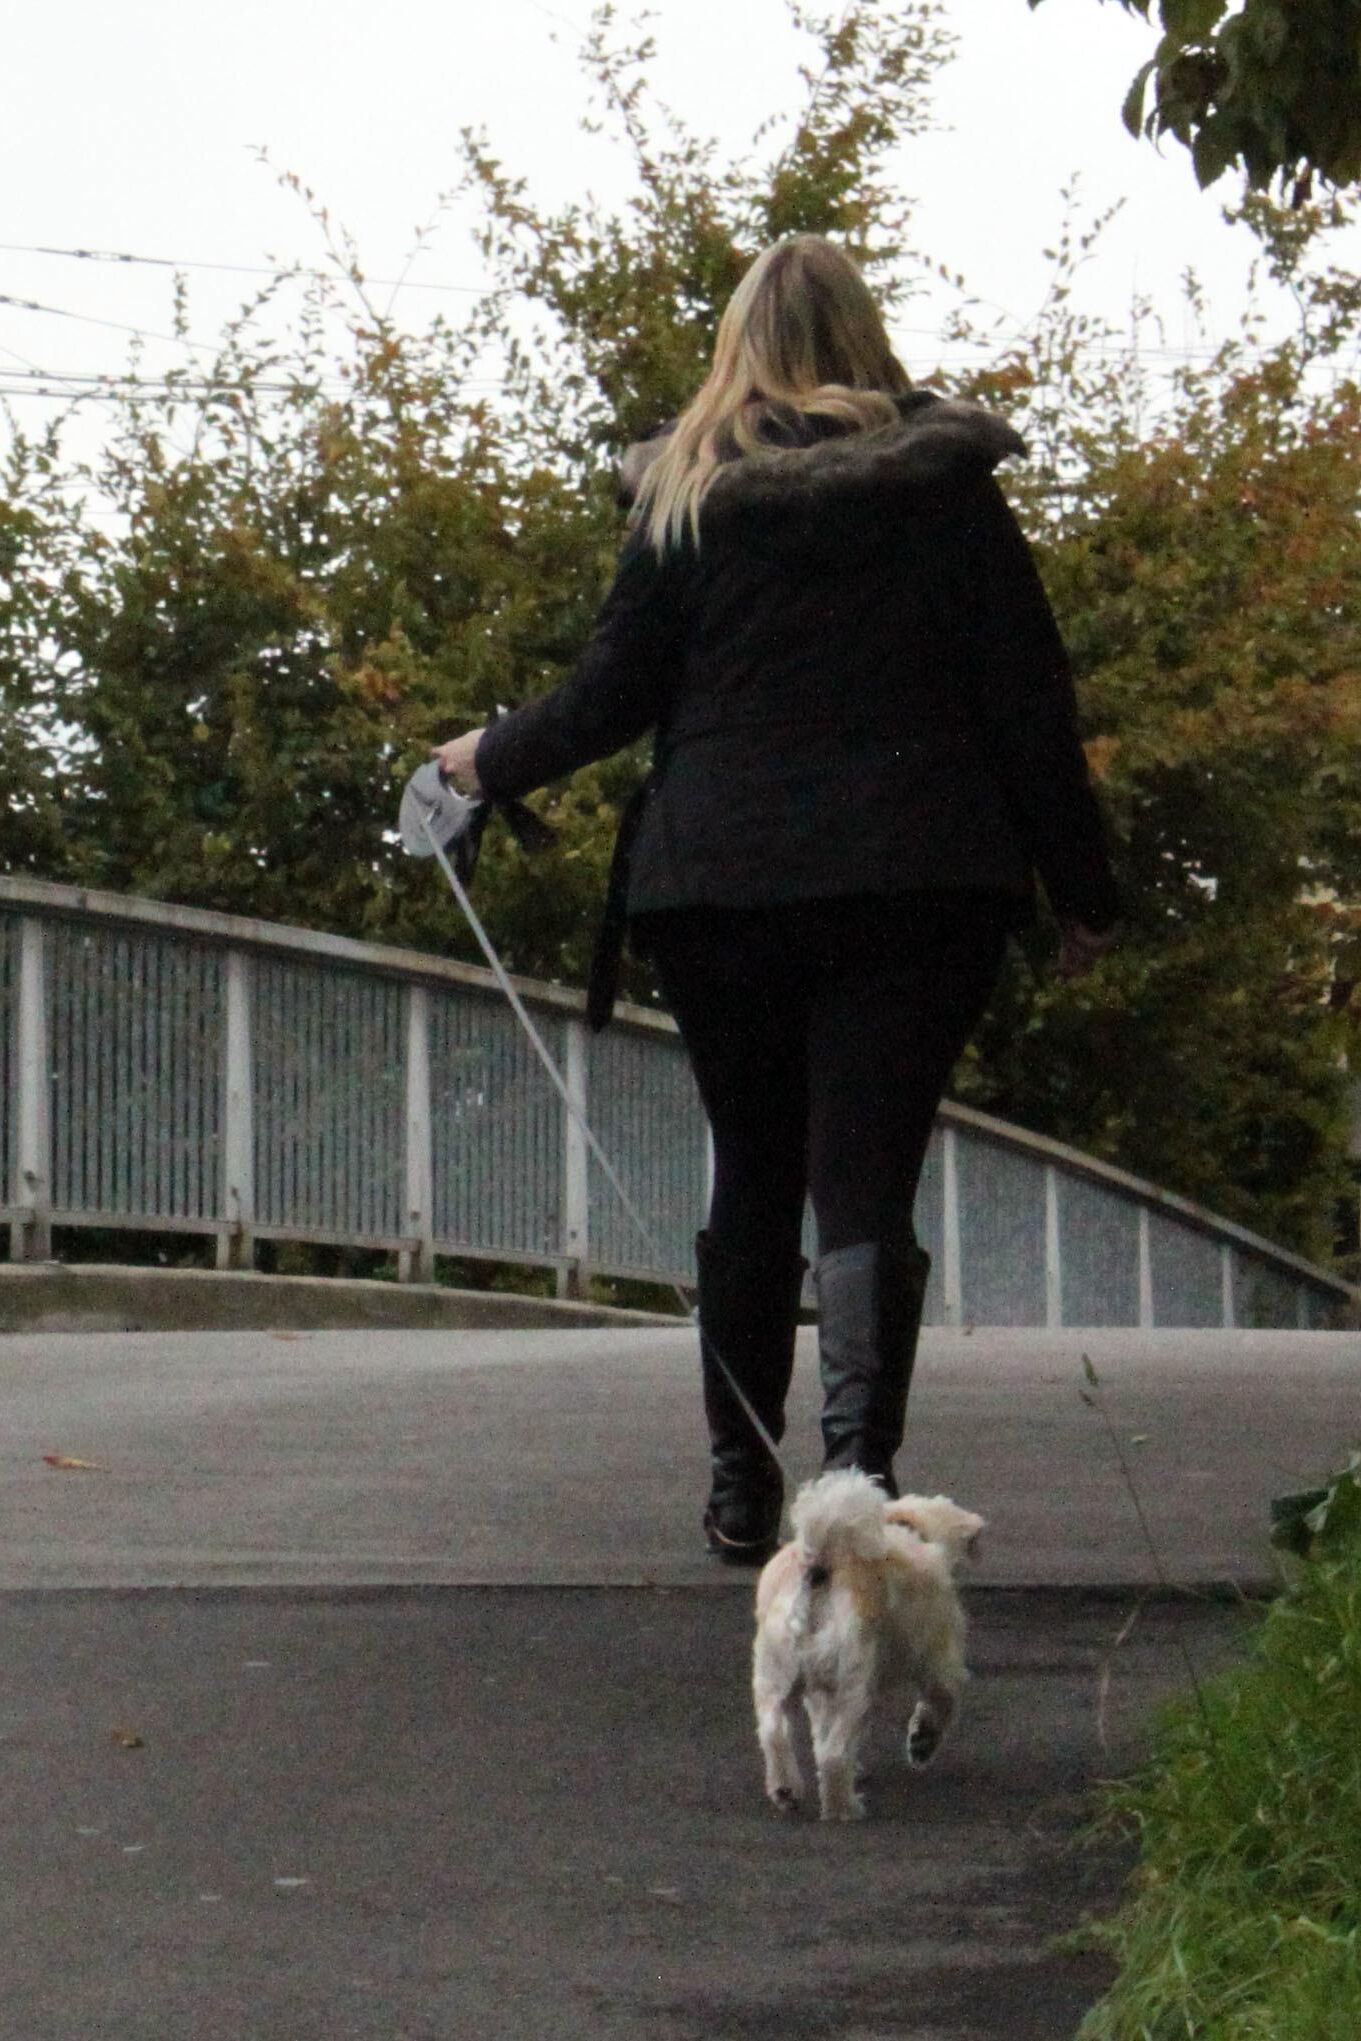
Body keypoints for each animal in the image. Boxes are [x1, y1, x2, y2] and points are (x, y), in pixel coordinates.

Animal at [750, 1469, 983, 1820]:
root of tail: (822, 1565)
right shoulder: (939, 1659)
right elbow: (942, 1699)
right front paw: (923, 1741)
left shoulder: (819, 1694)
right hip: (850, 1684)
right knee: (833, 1753)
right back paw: (843, 1808)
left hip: (777, 1674)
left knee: (774, 1731)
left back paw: (786, 1789)